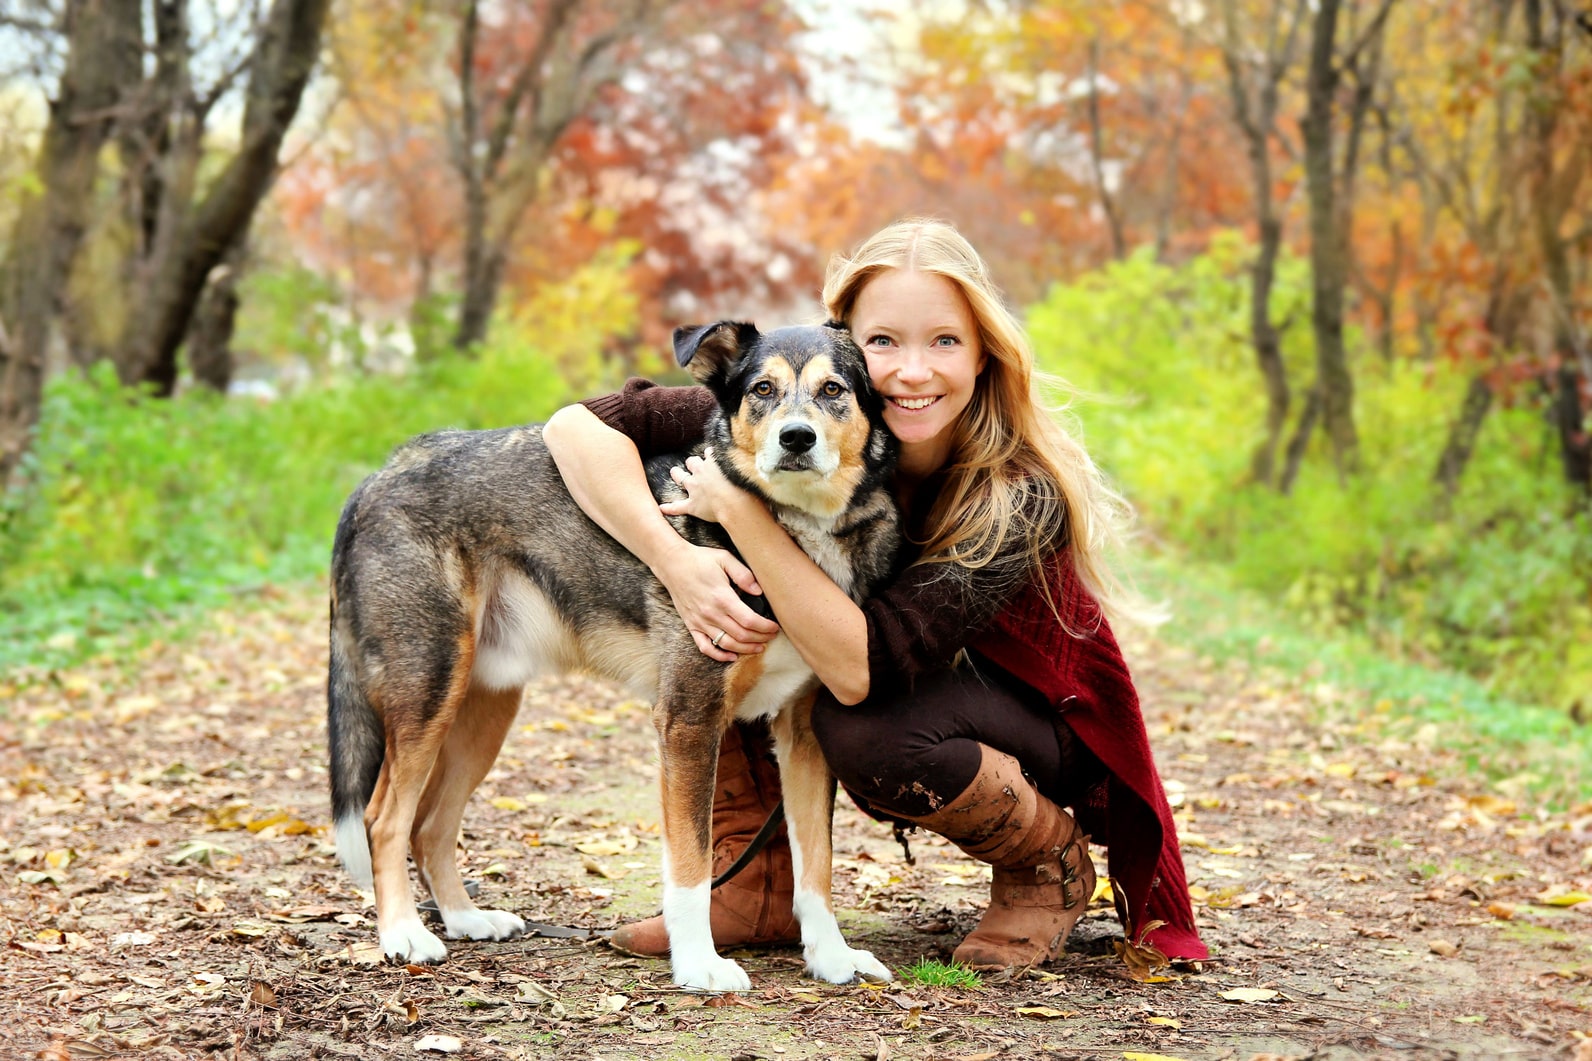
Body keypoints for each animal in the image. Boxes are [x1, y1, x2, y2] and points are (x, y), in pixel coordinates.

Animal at [324, 318, 904, 987]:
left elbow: (817, 864)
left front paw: (831, 955)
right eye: (763, 388)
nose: (797, 438)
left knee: (430, 826)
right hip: (430, 688)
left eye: (834, 389)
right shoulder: (689, 721)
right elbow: (691, 867)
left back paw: (466, 919)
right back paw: (403, 934)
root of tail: (378, 476)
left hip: (482, 710)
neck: (788, 538)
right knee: (385, 819)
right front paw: (699, 966)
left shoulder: (803, 734)